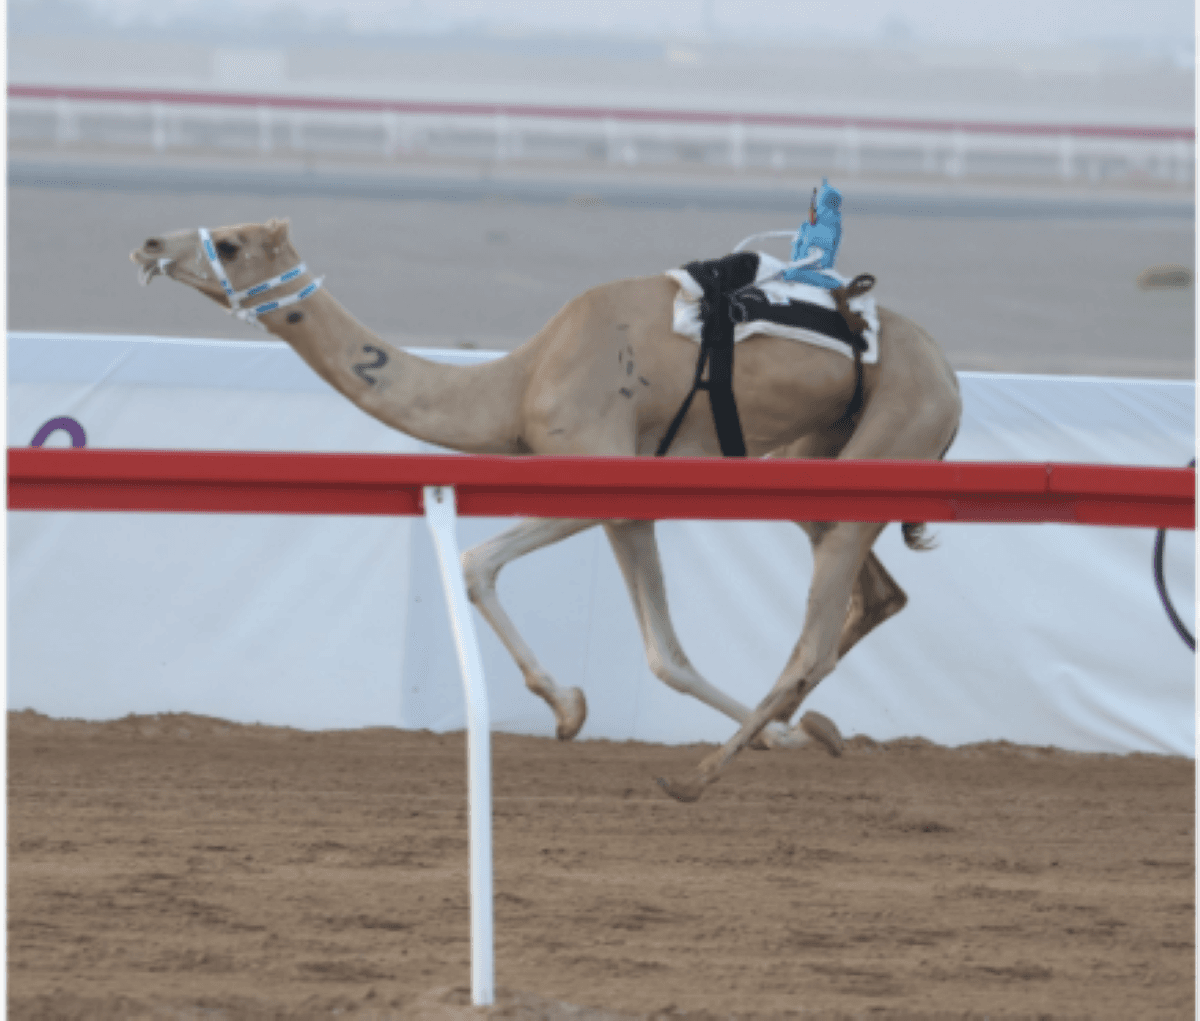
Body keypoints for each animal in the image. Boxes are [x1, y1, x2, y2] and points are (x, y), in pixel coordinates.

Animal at [130, 218, 961, 803]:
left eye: (230, 243)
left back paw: (698, 777)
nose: (148, 243)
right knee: (878, 594)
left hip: (893, 434)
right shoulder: (632, 504)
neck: (518, 382)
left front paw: (568, 708)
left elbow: (475, 561)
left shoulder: (598, 471)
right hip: (809, 458)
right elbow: (664, 654)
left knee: (814, 639)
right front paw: (788, 739)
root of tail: (949, 376)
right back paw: (806, 727)